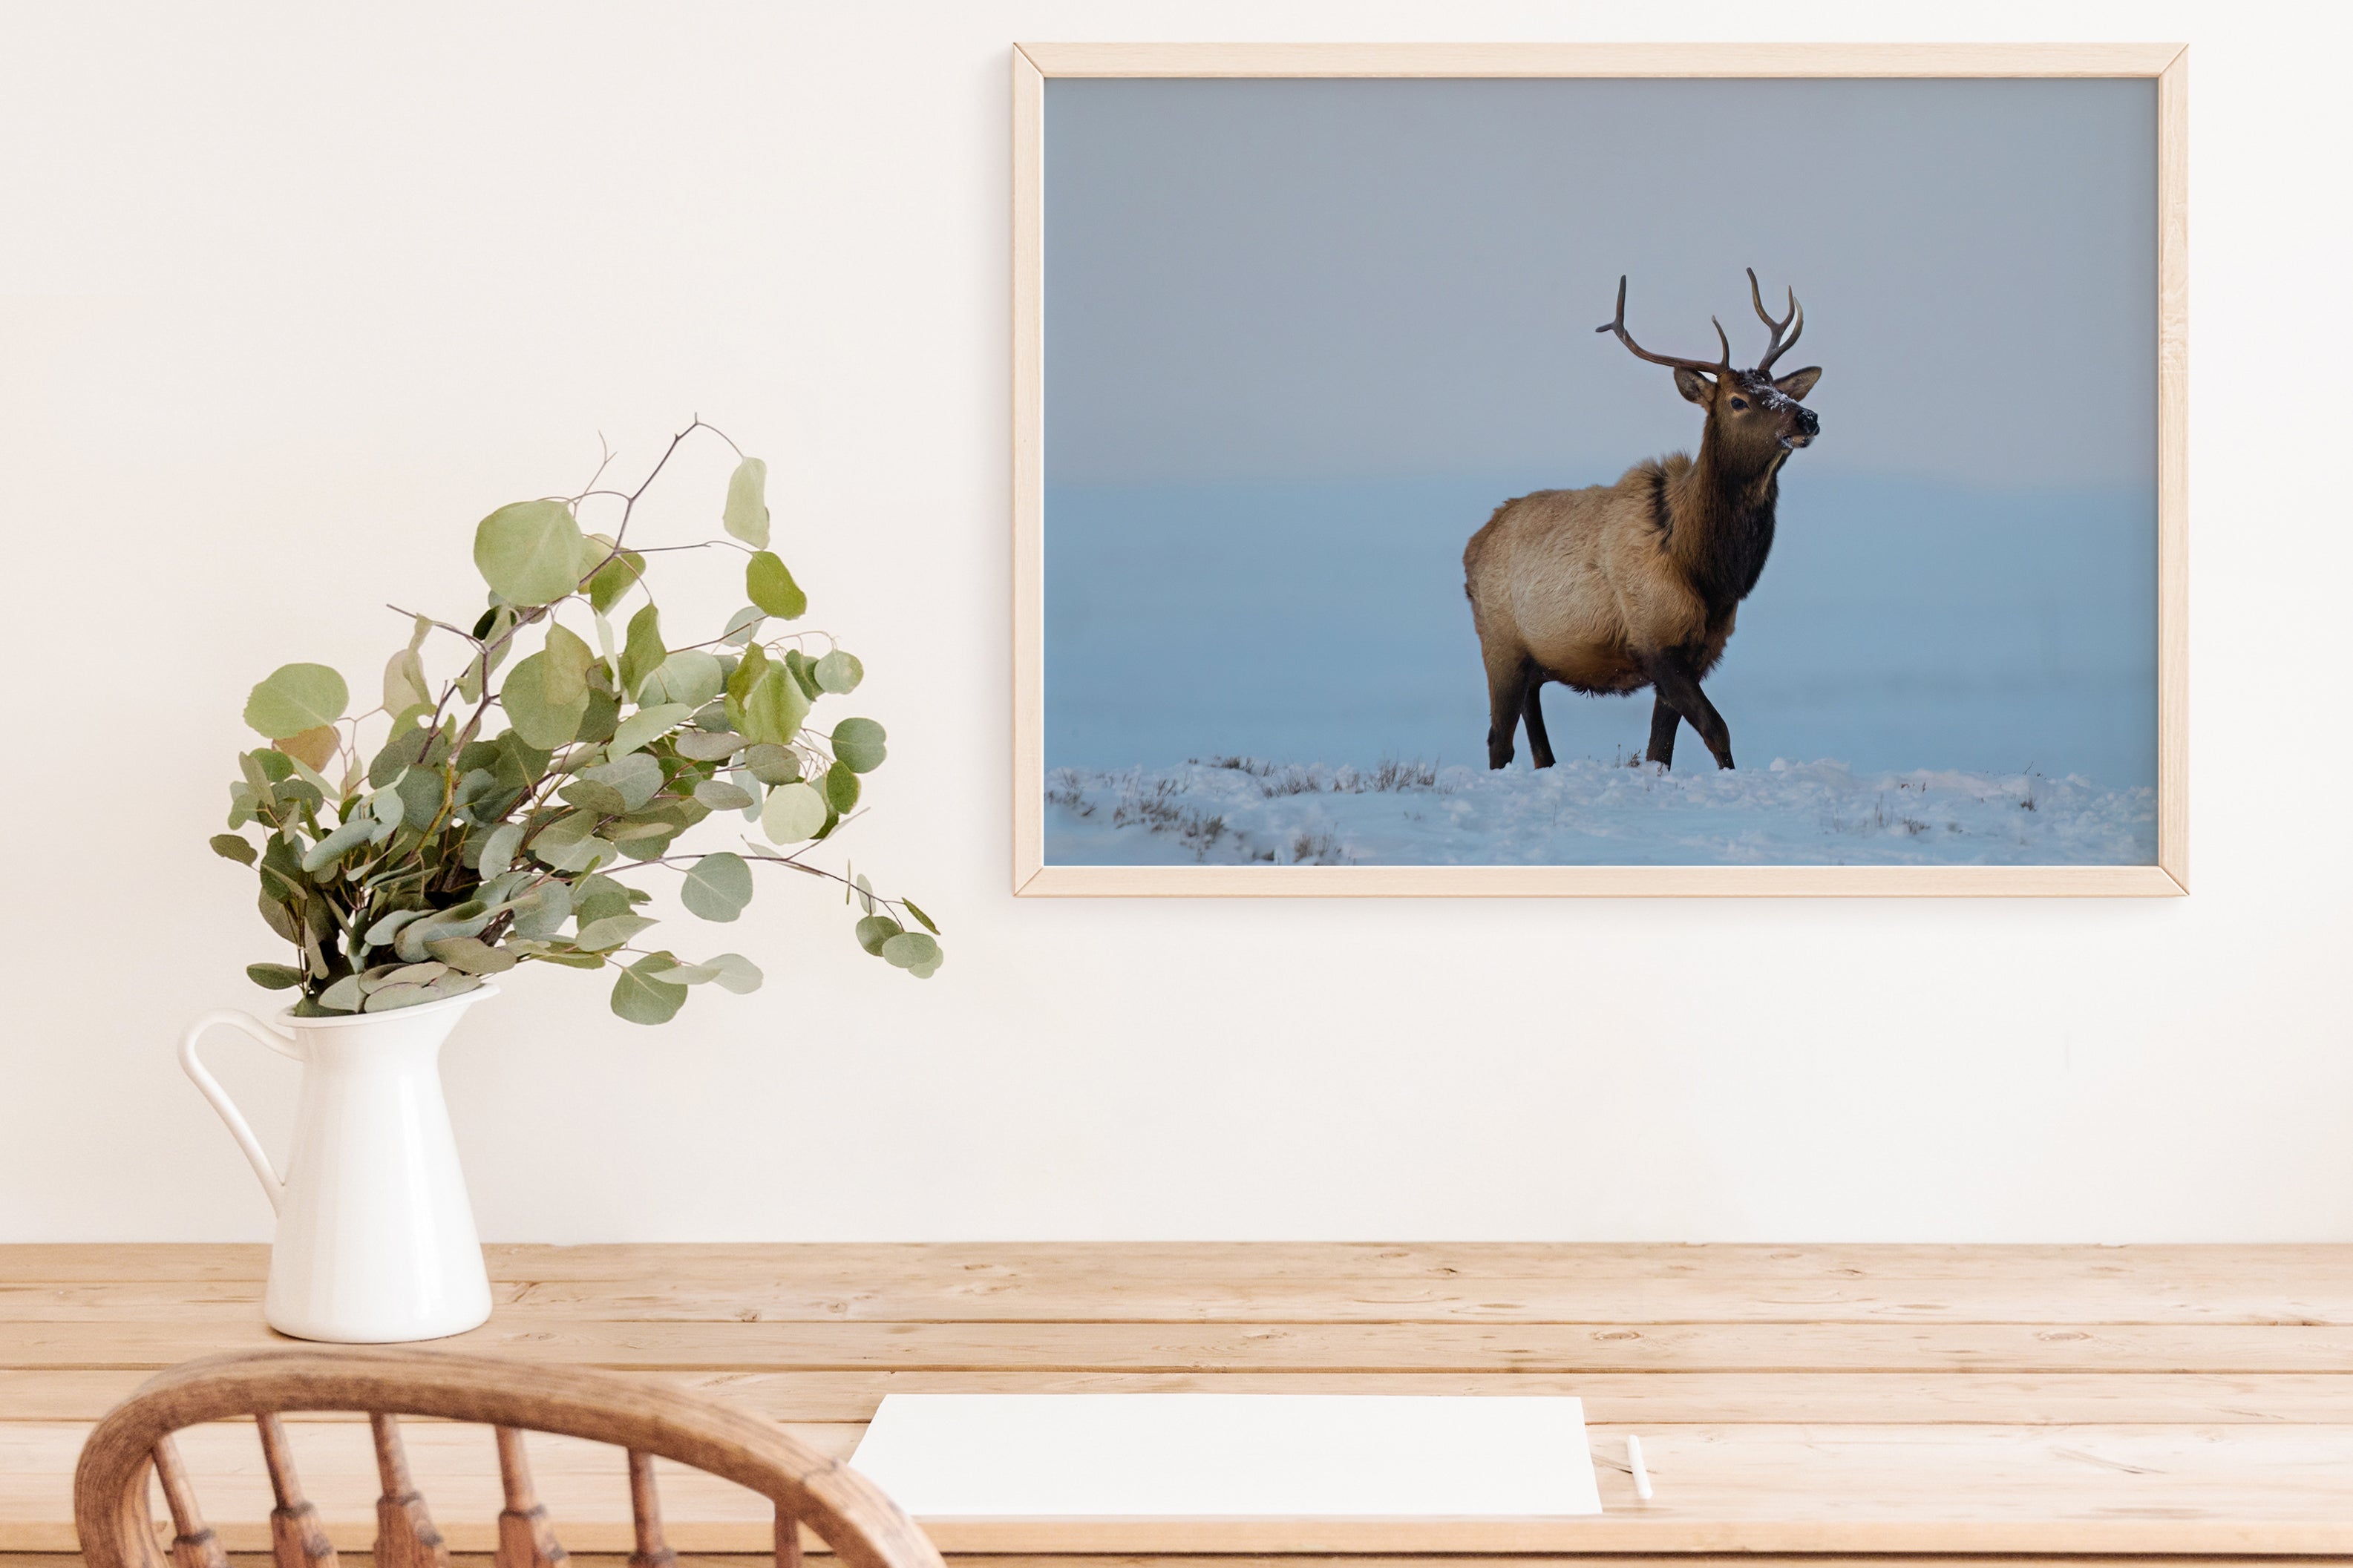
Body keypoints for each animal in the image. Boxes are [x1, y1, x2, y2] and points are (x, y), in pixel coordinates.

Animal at [1462, 270, 1821, 772]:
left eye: (1780, 389)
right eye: (1737, 401)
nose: (1806, 416)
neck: (1710, 572)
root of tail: (1473, 547)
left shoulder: (1699, 649)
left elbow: (1660, 750)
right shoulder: (1655, 639)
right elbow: (1716, 730)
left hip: (1534, 660)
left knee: (1534, 737)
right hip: (1499, 643)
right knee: (1499, 738)